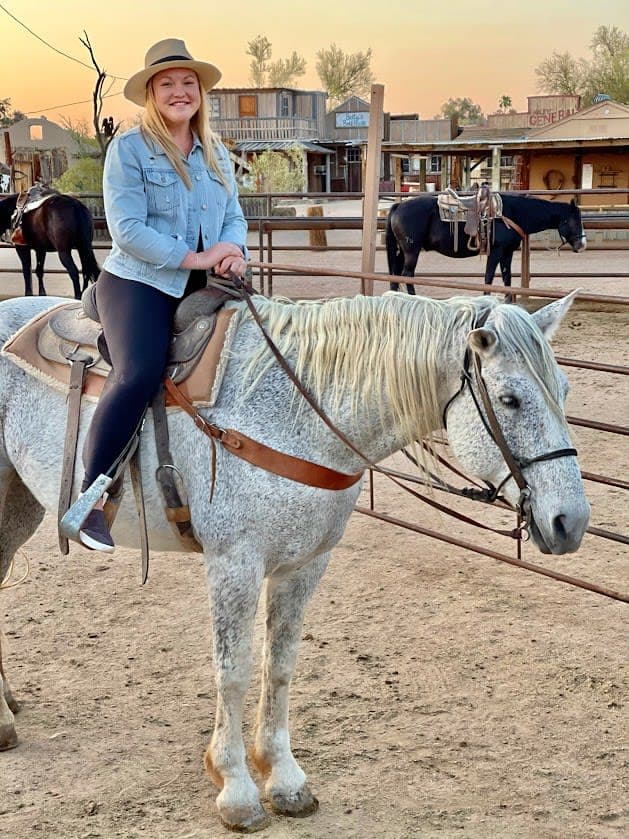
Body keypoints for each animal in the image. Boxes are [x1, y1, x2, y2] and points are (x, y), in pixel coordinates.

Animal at [0, 290, 589, 831]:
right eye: (510, 400)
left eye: (562, 390)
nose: (572, 522)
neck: (294, 412)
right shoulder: (234, 565)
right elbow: (233, 671)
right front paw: (236, 788)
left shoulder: (304, 565)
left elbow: (280, 666)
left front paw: (284, 779)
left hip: (20, 503)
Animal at [386, 194, 586, 294]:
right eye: (574, 220)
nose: (582, 244)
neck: (511, 212)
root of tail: (398, 206)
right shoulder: (496, 251)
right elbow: (489, 279)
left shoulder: (507, 253)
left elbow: (507, 279)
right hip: (412, 250)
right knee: (407, 275)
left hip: (402, 251)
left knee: (396, 273)